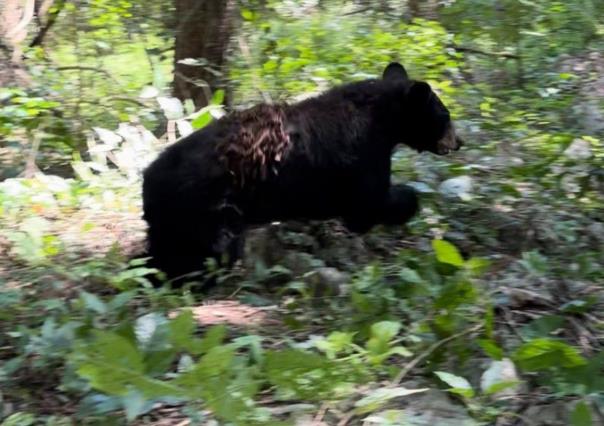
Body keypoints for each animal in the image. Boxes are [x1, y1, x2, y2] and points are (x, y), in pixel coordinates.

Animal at [142, 63, 462, 282]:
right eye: (445, 115)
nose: (459, 142)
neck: (381, 118)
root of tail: (149, 177)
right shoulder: (362, 158)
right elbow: (367, 205)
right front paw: (407, 201)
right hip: (207, 209)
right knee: (208, 250)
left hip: (173, 219)